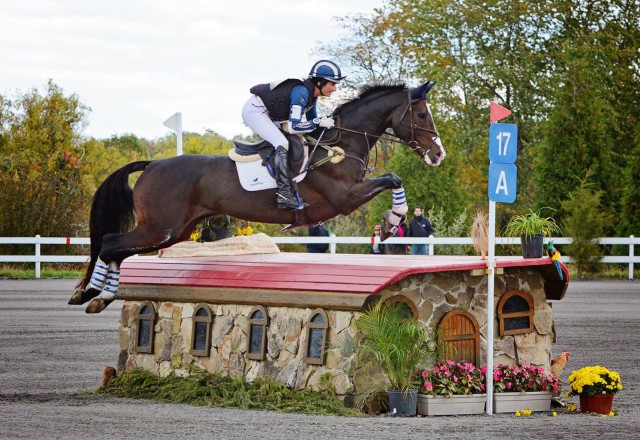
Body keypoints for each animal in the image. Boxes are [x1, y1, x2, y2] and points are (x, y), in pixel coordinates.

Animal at [70, 80, 444, 312]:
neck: (341, 144)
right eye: (422, 115)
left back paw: (96, 295)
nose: (438, 155)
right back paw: (92, 293)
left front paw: (391, 221)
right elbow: (393, 178)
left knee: (117, 249)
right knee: (110, 243)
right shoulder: (345, 198)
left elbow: (393, 179)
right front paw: (392, 221)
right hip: (160, 228)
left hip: (174, 232)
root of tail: (153, 163)